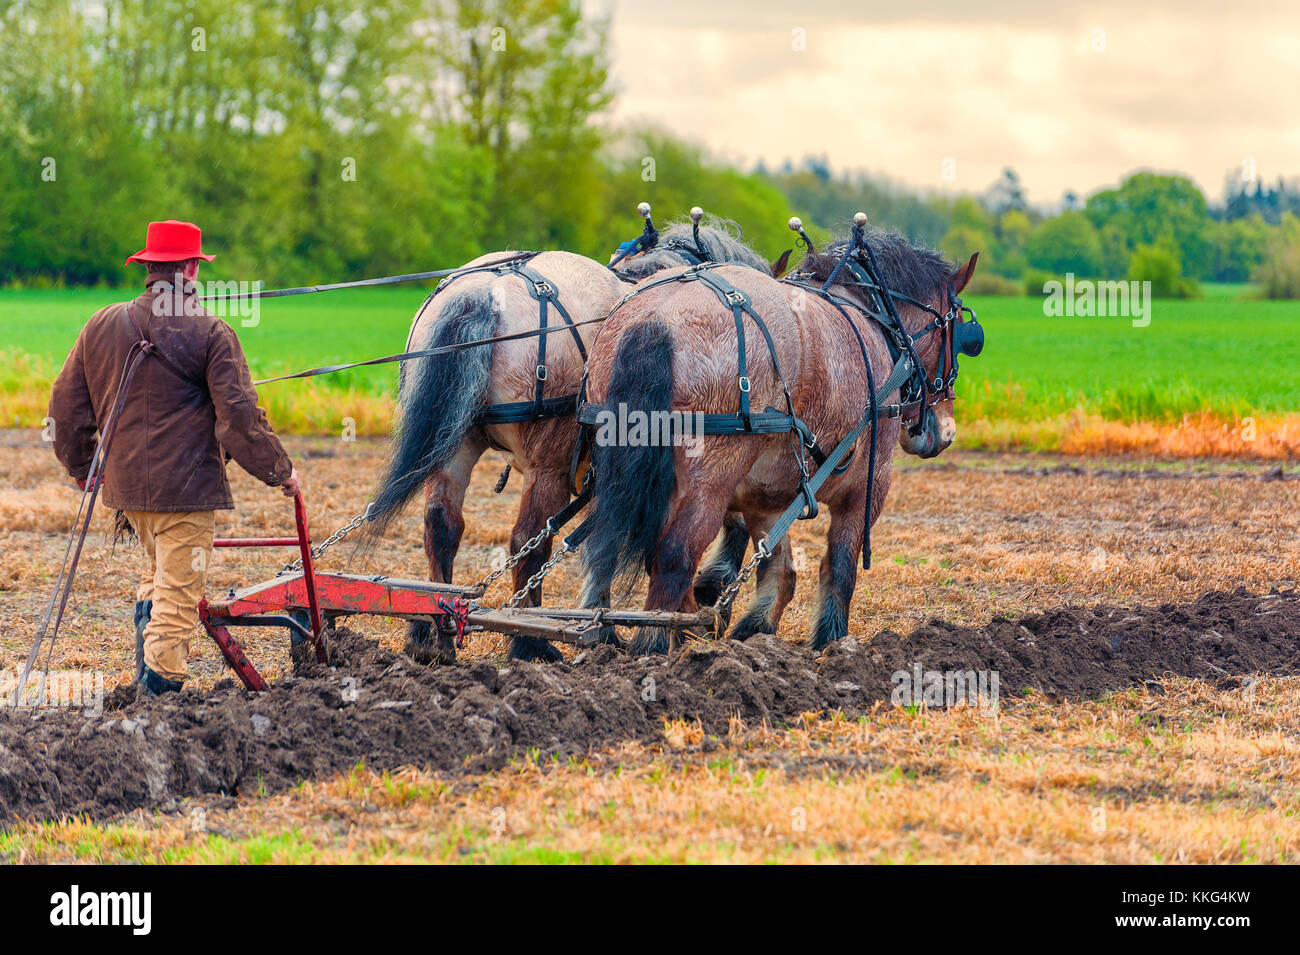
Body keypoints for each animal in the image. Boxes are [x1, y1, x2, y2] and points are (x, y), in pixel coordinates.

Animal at [366, 217, 775, 664]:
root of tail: (485, 292)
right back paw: (529, 642)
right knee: (528, 538)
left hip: (456, 442)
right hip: (549, 460)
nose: (712, 605)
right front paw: (678, 619)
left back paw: (432, 637)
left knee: (443, 524)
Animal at [577, 227, 981, 654]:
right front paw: (830, 641)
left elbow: (779, 566)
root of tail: (657, 318)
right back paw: (650, 645)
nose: (946, 432)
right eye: (959, 333)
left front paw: (754, 628)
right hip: (709, 479)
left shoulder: (767, 490)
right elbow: (840, 565)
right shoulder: (868, 486)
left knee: (609, 543)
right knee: (672, 558)